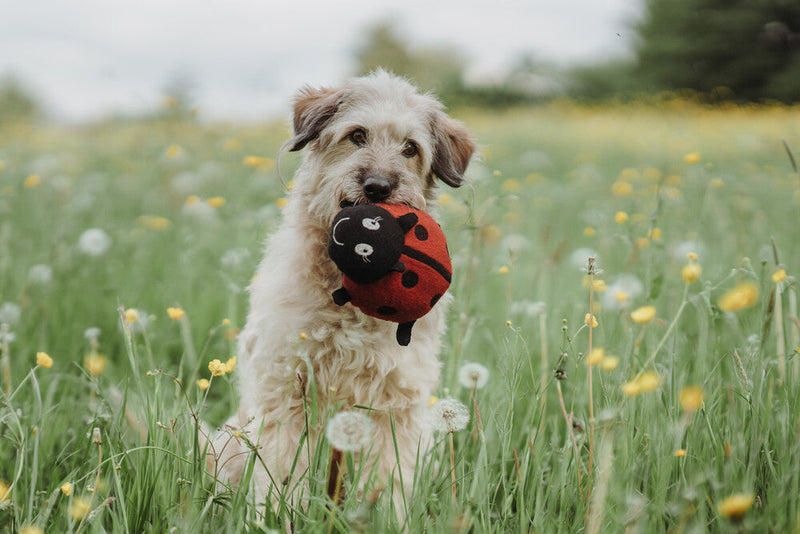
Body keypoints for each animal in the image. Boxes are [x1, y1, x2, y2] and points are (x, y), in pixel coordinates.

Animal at [206, 69, 478, 512]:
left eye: (410, 148)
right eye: (357, 135)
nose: (378, 187)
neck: (346, 295)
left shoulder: (395, 403)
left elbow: (388, 477)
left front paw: (385, 517)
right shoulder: (285, 389)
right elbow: (281, 469)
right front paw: (276, 515)